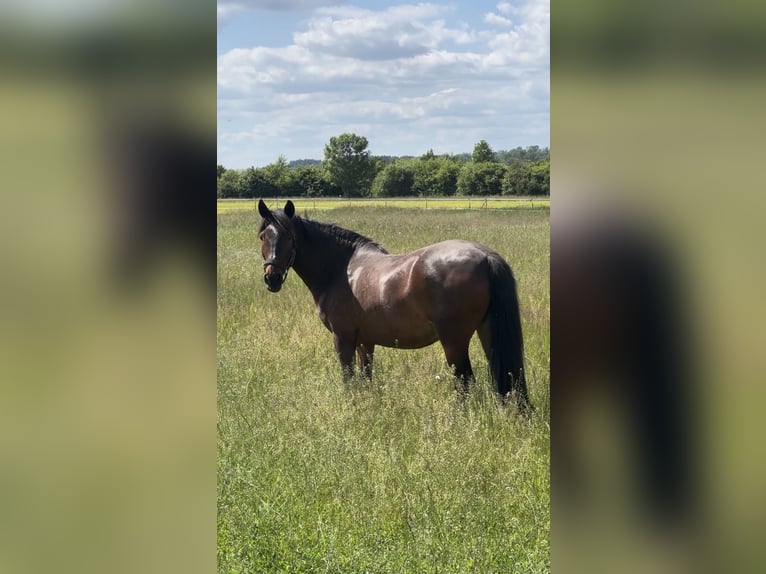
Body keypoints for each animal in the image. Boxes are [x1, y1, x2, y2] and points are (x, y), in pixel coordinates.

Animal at [257, 199, 531, 411]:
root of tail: (485, 256)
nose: (272, 278)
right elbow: (365, 378)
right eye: (263, 236)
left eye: (289, 236)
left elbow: (349, 378)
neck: (341, 270)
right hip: (487, 332)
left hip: (454, 341)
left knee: (465, 381)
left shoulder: (343, 338)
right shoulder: (365, 342)